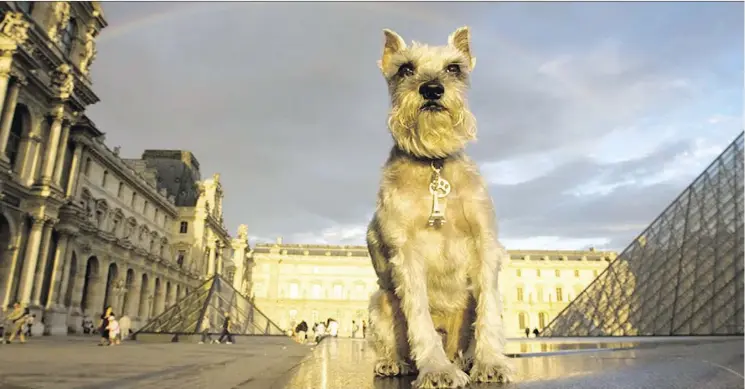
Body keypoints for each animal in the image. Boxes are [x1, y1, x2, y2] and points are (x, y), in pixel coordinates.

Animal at [364, 25, 512, 386]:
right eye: (405, 69)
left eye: (454, 68)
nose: (432, 89)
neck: (434, 162)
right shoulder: (406, 253)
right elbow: (419, 318)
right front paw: (437, 370)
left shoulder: (485, 244)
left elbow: (488, 311)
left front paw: (490, 362)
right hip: (380, 301)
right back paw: (395, 362)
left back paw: (468, 359)